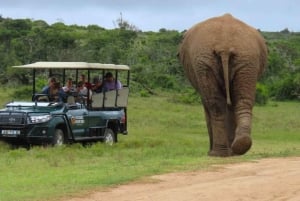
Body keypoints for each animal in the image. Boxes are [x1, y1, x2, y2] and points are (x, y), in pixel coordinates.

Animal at [178, 13, 268, 157]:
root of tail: (224, 46)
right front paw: (232, 151)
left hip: (205, 61)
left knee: (215, 105)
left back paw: (216, 153)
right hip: (247, 59)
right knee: (242, 100)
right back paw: (239, 146)